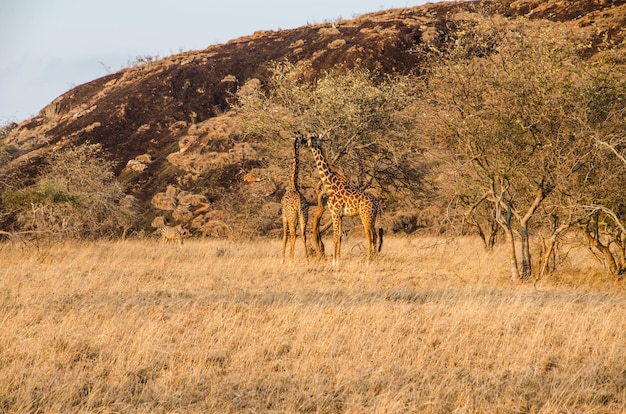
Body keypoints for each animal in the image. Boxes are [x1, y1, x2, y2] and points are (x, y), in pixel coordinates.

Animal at [302, 134, 382, 266]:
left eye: (314, 138)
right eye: (307, 137)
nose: (309, 144)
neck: (330, 185)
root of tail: (377, 203)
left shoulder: (334, 213)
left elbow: (335, 237)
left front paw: (334, 262)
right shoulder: (340, 215)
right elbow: (339, 236)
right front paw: (338, 261)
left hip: (365, 216)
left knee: (370, 236)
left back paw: (367, 262)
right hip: (372, 217)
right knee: (375, 236)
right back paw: (375, 261)